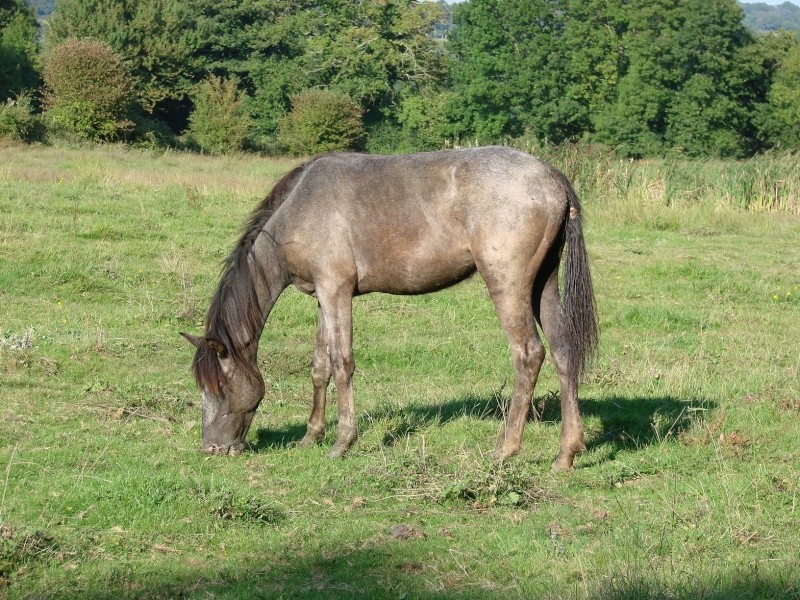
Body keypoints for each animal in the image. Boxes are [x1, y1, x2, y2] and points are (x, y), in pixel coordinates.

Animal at [181, 144, 592, 468]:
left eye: (219, 386)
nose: (212, 449)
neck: (299, 211)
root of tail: (553, 177)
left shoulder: (336, 291)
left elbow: (342, 364)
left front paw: (342, 442)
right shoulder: (323, 297)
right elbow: (319, 367)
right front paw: (310, 436)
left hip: (508, 286)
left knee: (529, 355)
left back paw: (506, 450)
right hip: (543, 285)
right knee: (563, 352)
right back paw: (565, 454)